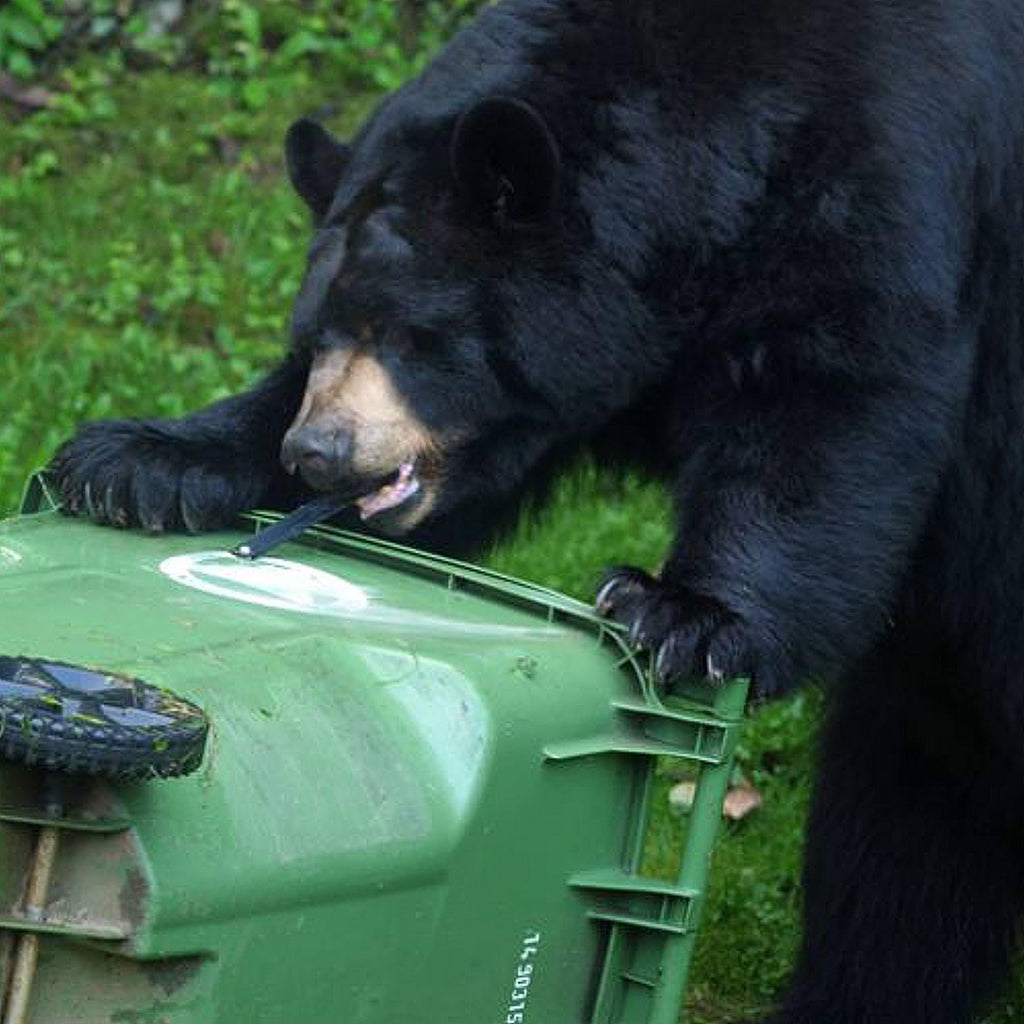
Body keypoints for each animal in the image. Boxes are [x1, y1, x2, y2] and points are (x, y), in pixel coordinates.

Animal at [50, 0, 1024, 1021]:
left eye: (405, 330)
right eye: (316, 333)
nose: (316, 452)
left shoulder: (884, 177)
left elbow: (828, 393)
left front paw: (681, 612)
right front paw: (141, 462)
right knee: (909, 817)